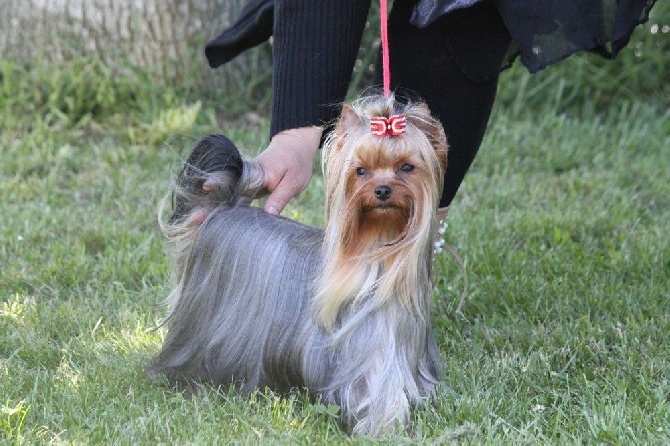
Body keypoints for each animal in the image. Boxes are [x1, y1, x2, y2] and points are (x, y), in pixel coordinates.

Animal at [150, 94, 448, 436]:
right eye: (360, 171)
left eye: (407, 167)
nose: (382, 190)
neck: (379, 253)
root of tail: (224, 207)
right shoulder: (365, 359)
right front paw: (381, 428)